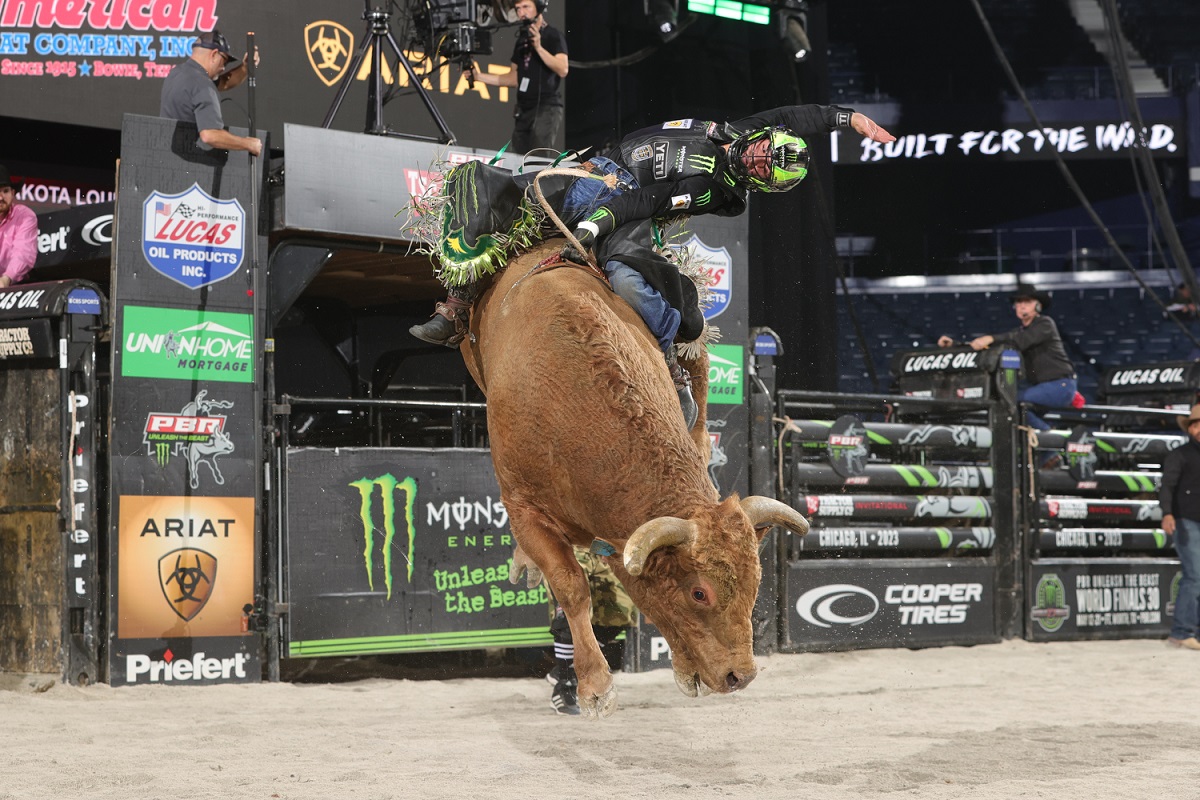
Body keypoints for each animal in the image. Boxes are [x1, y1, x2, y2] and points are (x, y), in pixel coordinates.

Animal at [453, 237, 811, 719]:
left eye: (756, 581)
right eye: (699, 593)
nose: (741, 676)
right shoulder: (523, 506)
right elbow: (572, 587)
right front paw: (594, 686)